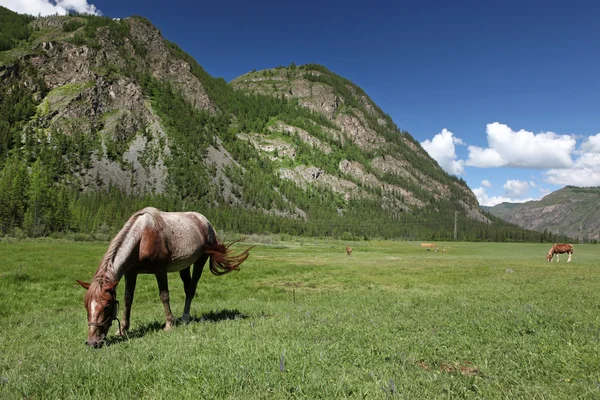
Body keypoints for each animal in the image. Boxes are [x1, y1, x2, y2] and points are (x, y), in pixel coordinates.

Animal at [77, 206, 251, 346]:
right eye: (86, 306)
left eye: (107, 306)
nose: (92, 342)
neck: (142, 237)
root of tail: (206, 222)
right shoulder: (130, 273)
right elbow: (128, 300)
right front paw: (123, 329)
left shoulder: (160, 270)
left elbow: (164, 296)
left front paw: (168, 324)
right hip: (184, 266)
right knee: (188, 288)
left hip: (199, 262)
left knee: (191, 289)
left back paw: (185, 317)